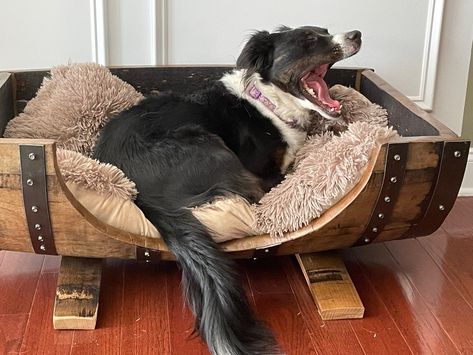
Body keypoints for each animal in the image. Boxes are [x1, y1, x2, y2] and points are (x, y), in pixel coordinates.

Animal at [94, 25, 364, 355]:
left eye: (325, 30)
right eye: (309, 40)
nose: (357, 34)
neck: (270, 102)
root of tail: (135, 191)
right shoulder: (265, 173)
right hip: (213, 149)